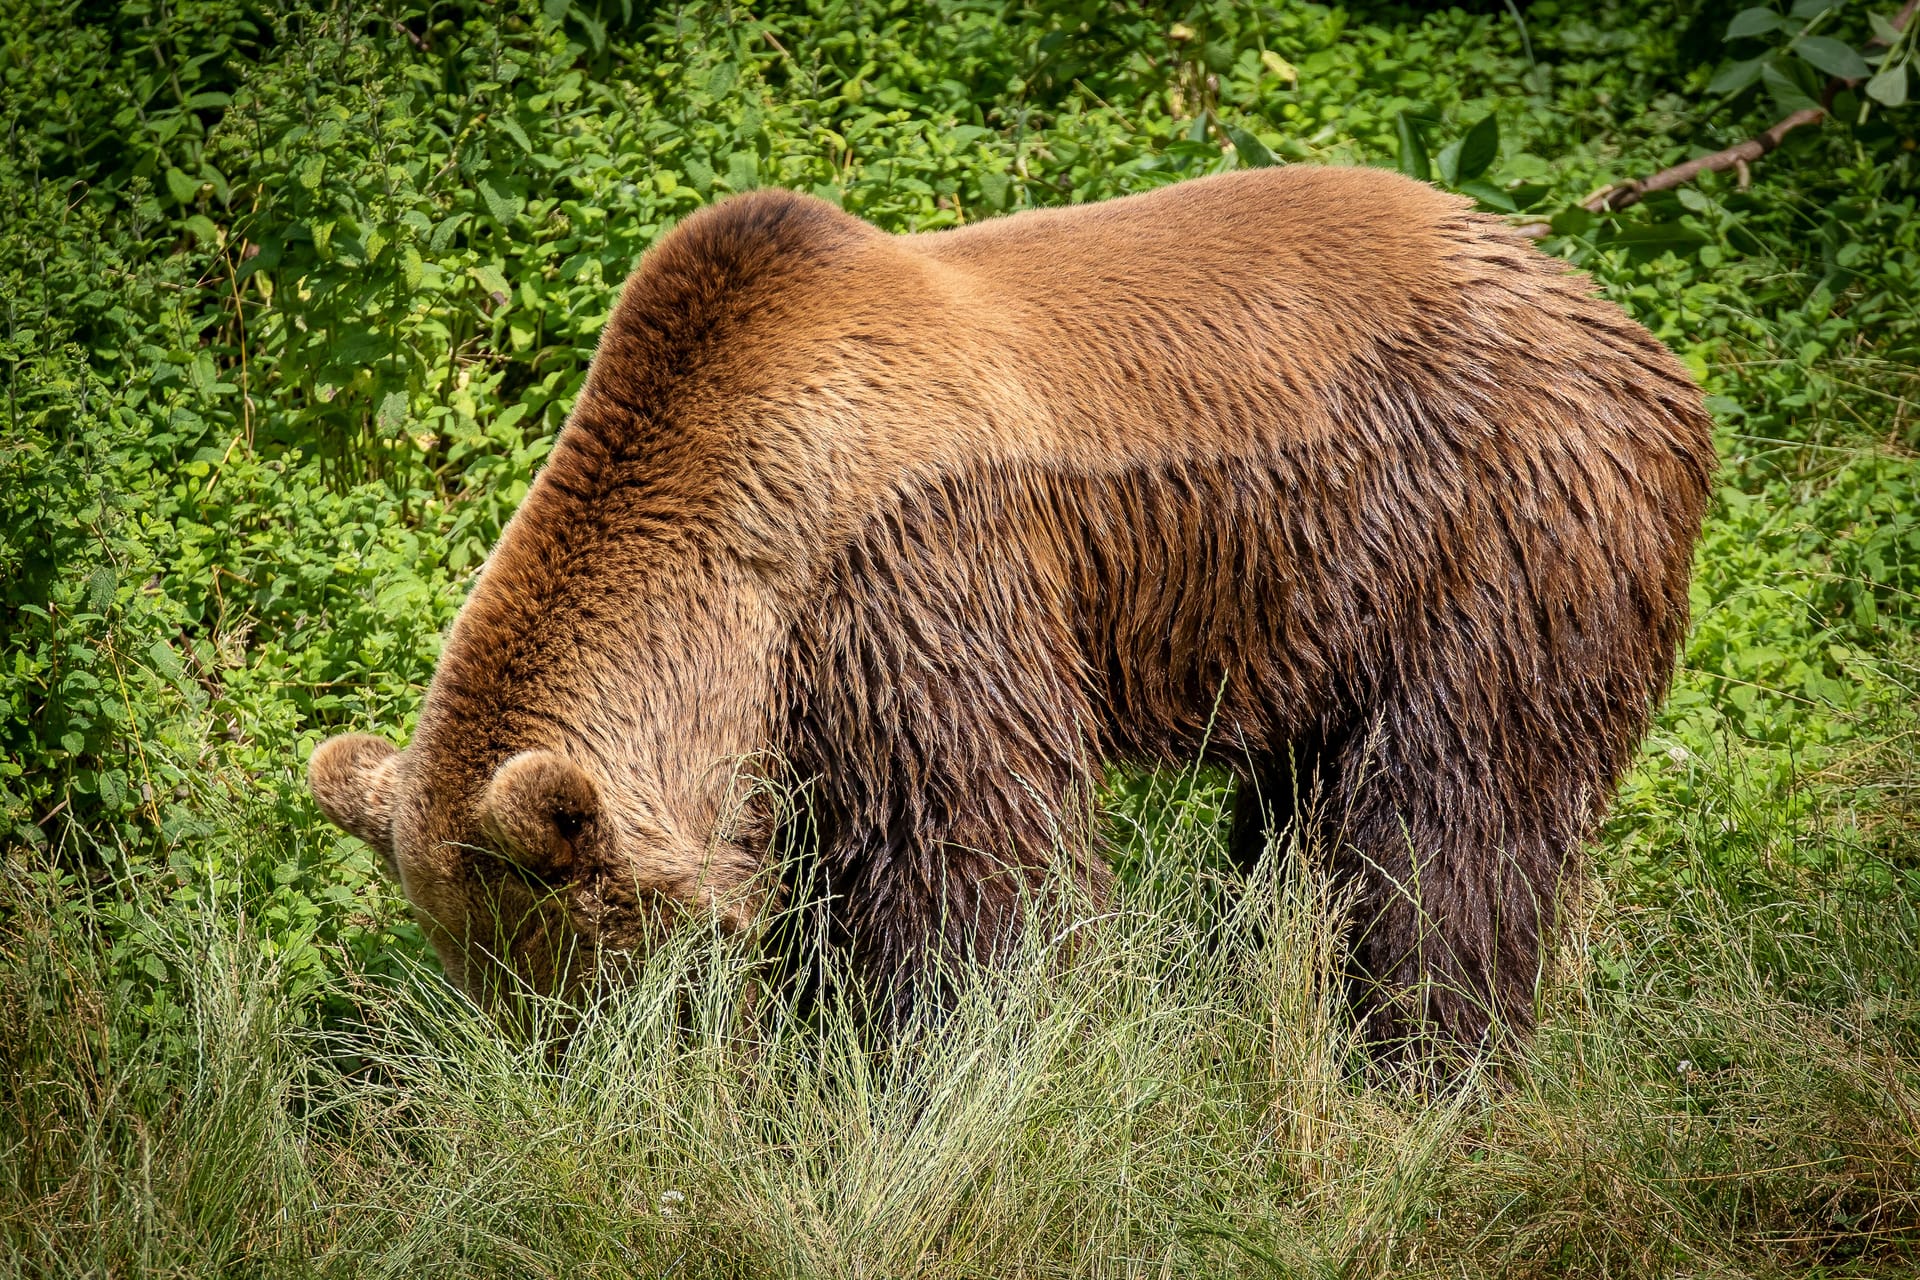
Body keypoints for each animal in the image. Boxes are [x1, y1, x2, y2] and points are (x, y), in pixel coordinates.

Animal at [307, 163, 1720, 1059]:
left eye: (590, 977)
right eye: (492, 983)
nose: (575, 1078)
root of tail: (1621, 322)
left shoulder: (920, 573)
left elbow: (978, 867)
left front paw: (963, 1056)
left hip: (1495, 525)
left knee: (1448, 816)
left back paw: (1426, 1051)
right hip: (1327, 598)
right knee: (1296, 818)